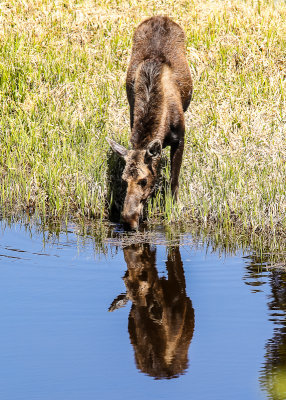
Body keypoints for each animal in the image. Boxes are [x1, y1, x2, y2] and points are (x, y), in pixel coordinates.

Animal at [107, 15, 192, 230]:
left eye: (144, 180)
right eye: (124, 180)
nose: (128, 219)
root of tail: (161, 17)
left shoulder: (180, 137)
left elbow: (174, 180)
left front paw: (173, 207)